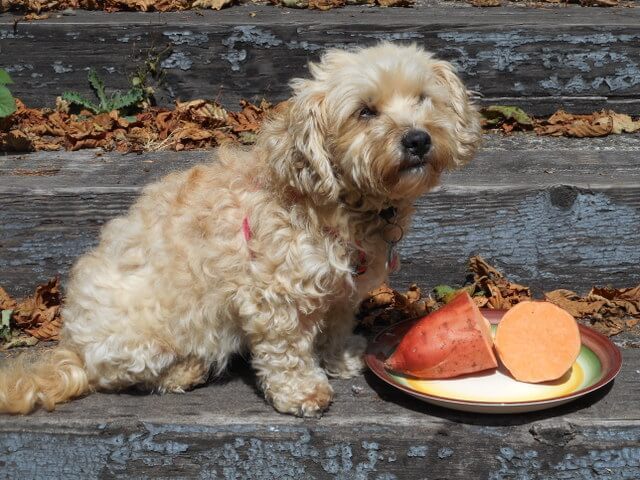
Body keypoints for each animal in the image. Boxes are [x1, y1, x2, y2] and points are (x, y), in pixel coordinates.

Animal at [0, 42, 480, 416]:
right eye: (364, 111)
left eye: (423, 99)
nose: (418, 139)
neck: (337, 204)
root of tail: (70, 347)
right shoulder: (273, 296)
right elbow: (287, 352)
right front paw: (303, 391)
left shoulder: (340, 292)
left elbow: (336, 326)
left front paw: (340, 358)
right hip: (148, 334)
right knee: (126, 375)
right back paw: (185, 371)